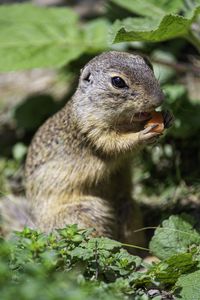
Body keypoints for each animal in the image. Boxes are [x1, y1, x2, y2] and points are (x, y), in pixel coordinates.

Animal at [1, 51, 173, 244]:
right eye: (118, 81)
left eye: (148, 63)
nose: (159, 99)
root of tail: (38, 229)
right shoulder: (92, 130)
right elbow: (115, 145)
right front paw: (142, 135)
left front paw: (167, 117)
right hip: (88, 212)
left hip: (129, 209)